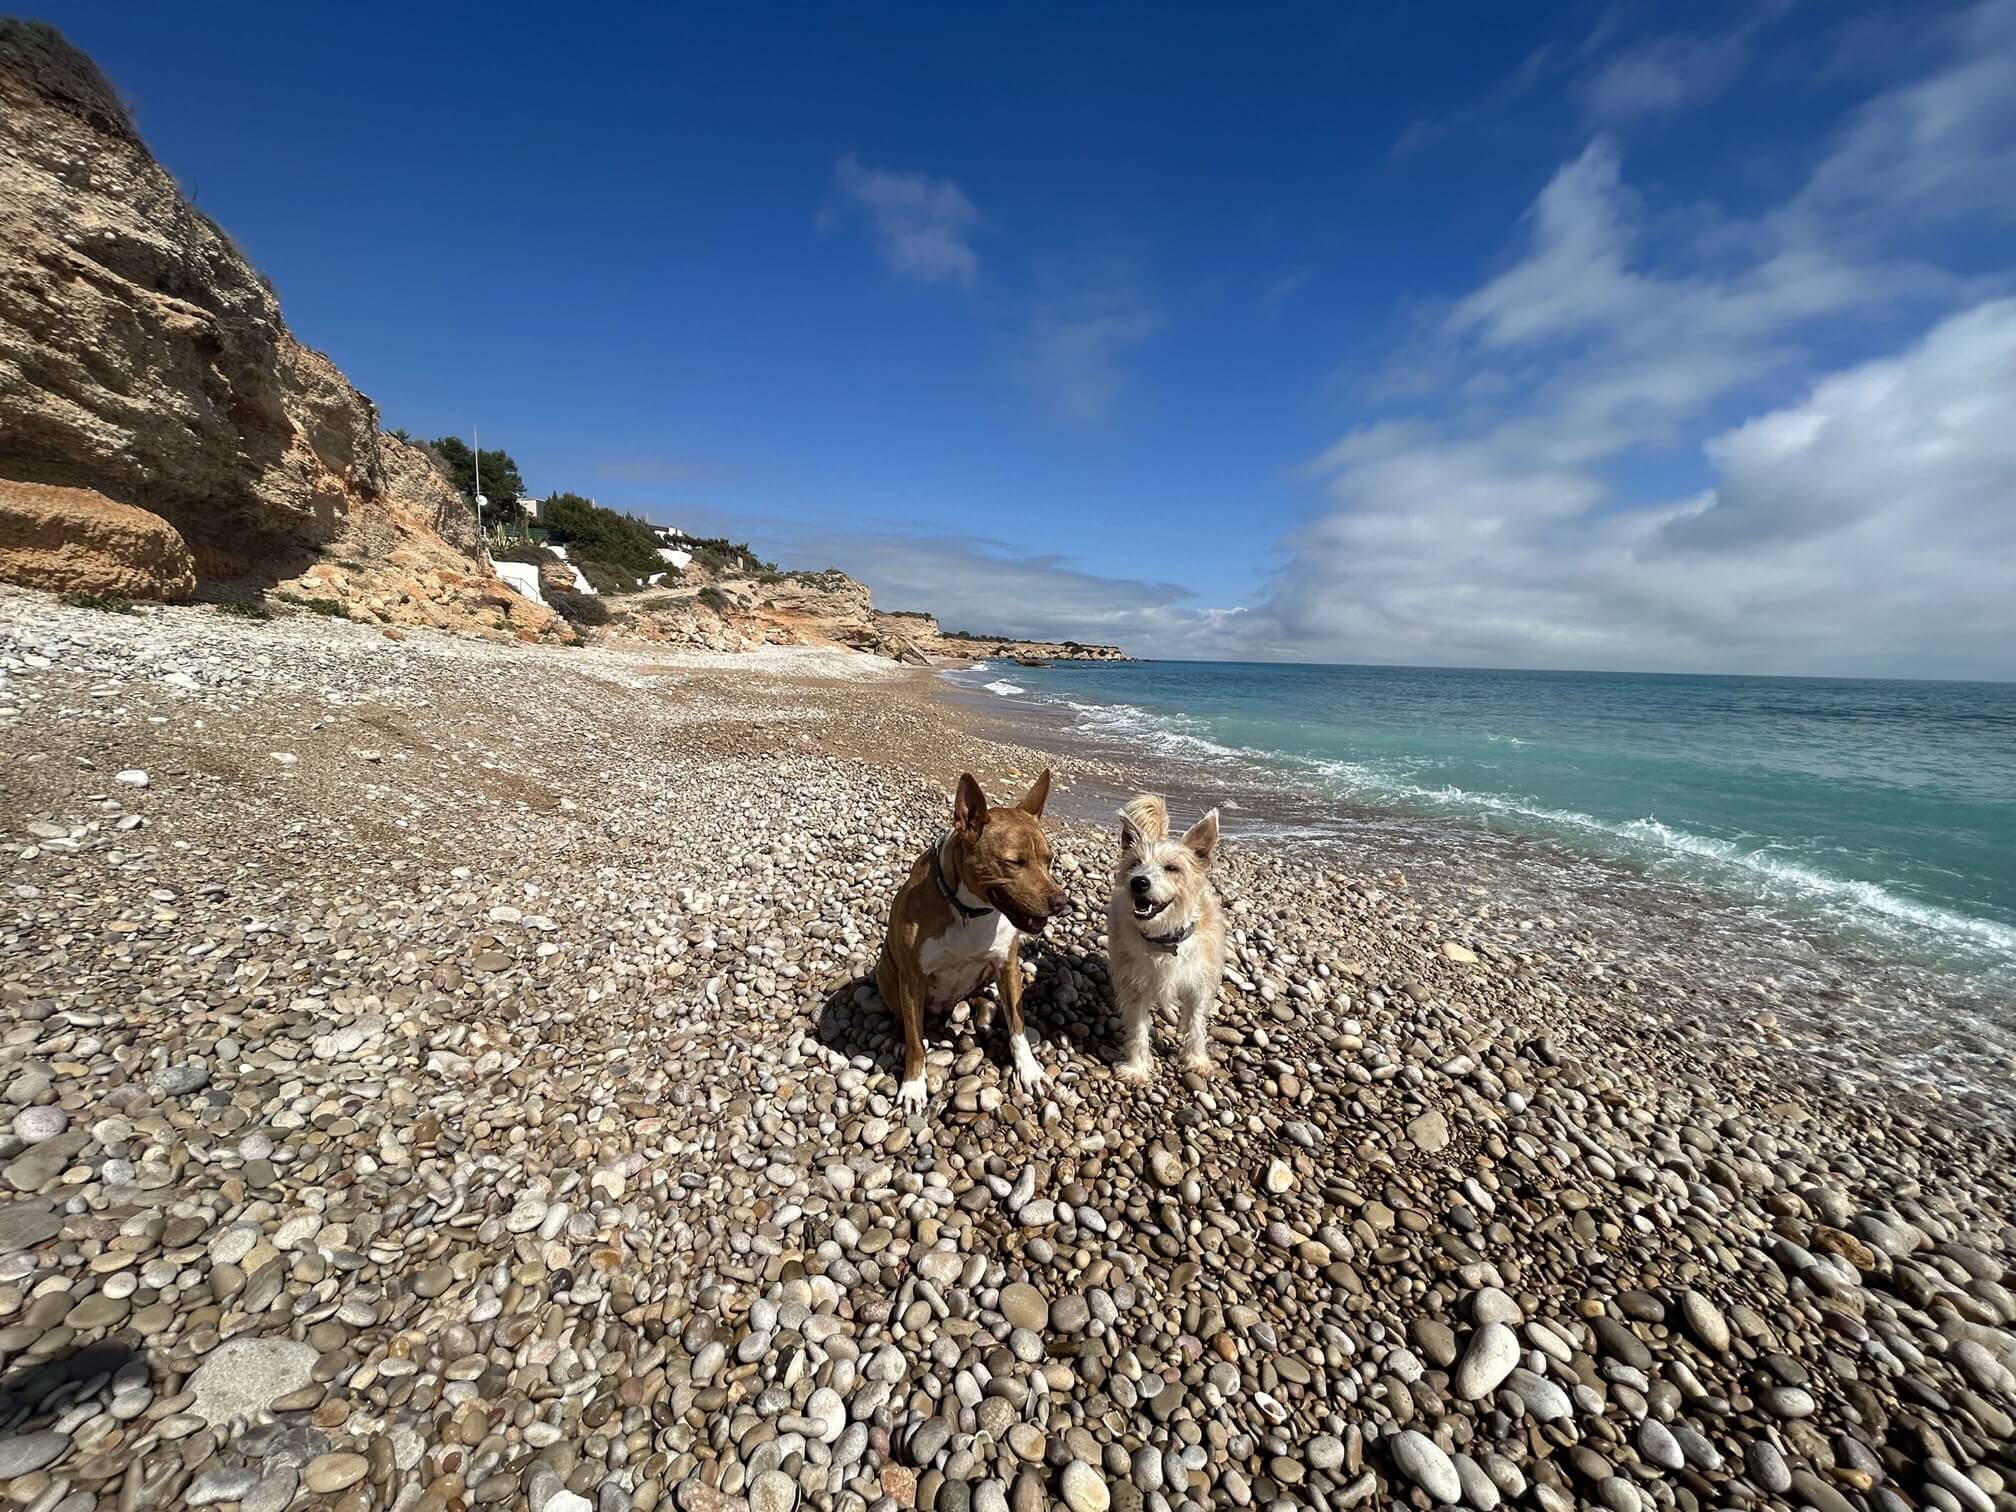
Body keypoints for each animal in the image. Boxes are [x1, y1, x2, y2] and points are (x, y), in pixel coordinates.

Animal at [878, 770, 1072, 1112]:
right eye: (1015, 862)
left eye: (1049, 859)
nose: (1061, 902)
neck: (970, 908)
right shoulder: (912, 976)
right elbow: (915, 1040)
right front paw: (913, 1085)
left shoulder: (1007, 964)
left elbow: (1018, 1026)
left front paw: (1030, 1070)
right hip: (887, 973)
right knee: (902, 1017)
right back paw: (899, 1037)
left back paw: (985, 1006)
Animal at [1104, 798, 1225, 1080]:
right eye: (1135, 863)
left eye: (1172, 868)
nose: (1139, 882)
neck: (1166, 940)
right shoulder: (1135, 986)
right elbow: (1138, 1029)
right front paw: (1137, 1068)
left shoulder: (1199, 984)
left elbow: (1196, 1024)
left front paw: (1196, 1059)